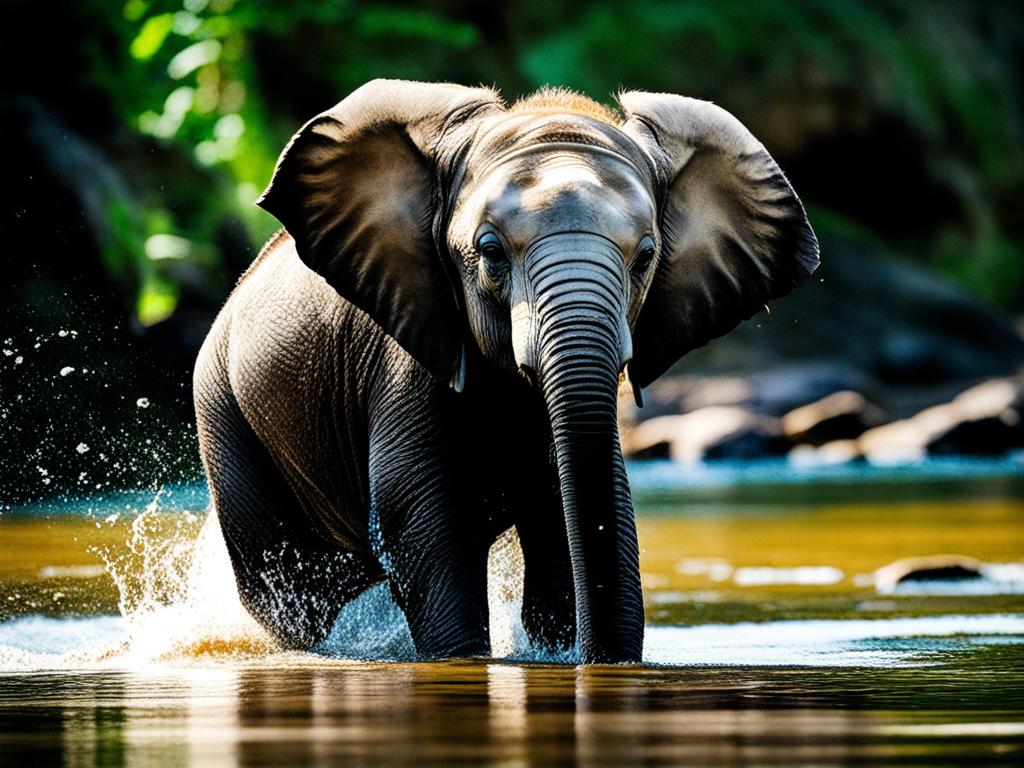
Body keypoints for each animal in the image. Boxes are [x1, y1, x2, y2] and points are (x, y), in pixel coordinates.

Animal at [190, 79, 815, 667]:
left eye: (645, 258)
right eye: (489, 252)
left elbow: (572, 520)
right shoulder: (404, 364)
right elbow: (424, 523)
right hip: (223, 412)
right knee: (297, 585)